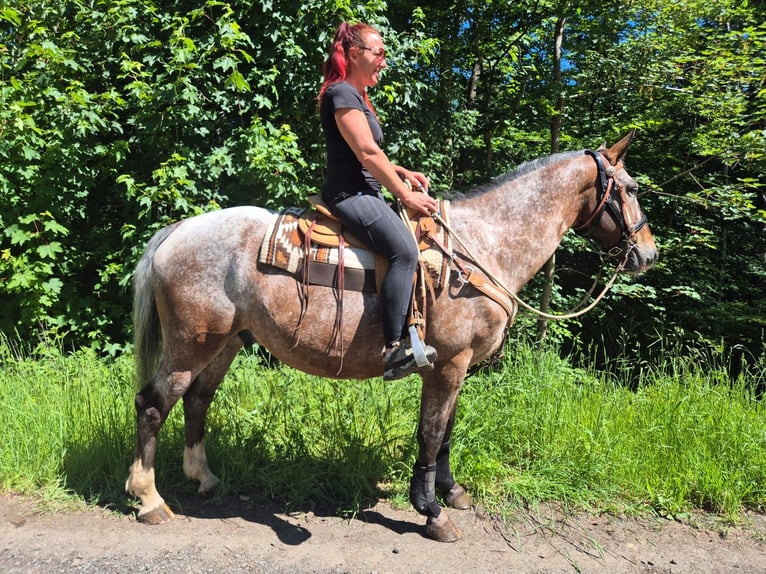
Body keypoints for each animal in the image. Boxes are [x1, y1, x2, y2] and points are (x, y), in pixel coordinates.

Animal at [125, 130, 658, 542]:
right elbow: (431, 432)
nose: (648, 254)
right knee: (153, 403)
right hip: (191, 342)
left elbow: (447, 432)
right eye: (630, 188)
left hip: (226, 341)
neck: (481, 248)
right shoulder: (448, 364)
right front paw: (431, 512)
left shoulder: (456, 367)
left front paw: (451, 492)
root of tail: (176, 231)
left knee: (198, 398)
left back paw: (203, 477)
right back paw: (149, 500)